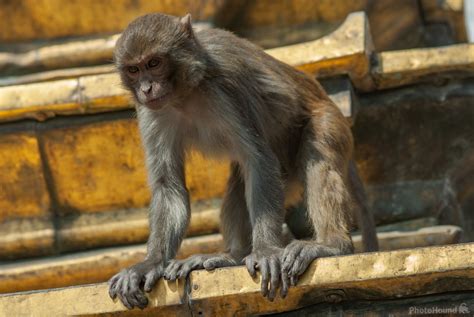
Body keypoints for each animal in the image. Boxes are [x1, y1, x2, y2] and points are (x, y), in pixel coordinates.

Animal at [107, 13, 378, 308]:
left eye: (154, 63)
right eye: (134, 70)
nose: (146, 88)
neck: (186, 93)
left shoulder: (225, 91)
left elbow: (258, 159)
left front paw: (266, 251)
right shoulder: (152, 111)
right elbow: (168, 185)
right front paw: (150, 263)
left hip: (330, 122)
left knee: (318, 158)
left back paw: (332, 244)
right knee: (240, 183)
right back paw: (231, 256)